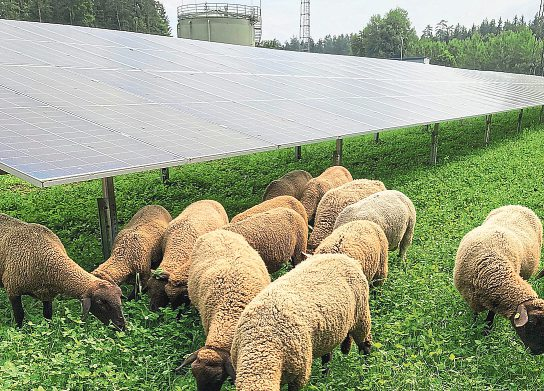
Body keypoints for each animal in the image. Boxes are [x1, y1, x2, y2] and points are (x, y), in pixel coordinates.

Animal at [232, 254, 372, 391]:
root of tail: (345, 258)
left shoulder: (299, 376)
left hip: (361, 317)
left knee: (365, 347)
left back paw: (364, 374)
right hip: (330, 332)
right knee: (327, 357)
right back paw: (324, 380)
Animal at [454, 207, 544, 354]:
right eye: (532, 323)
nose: (538, 352)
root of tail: (519, 206)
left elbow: (491, 314)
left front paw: (486, 330)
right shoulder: (472, 297)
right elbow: (475, 314)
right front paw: (474, 327)